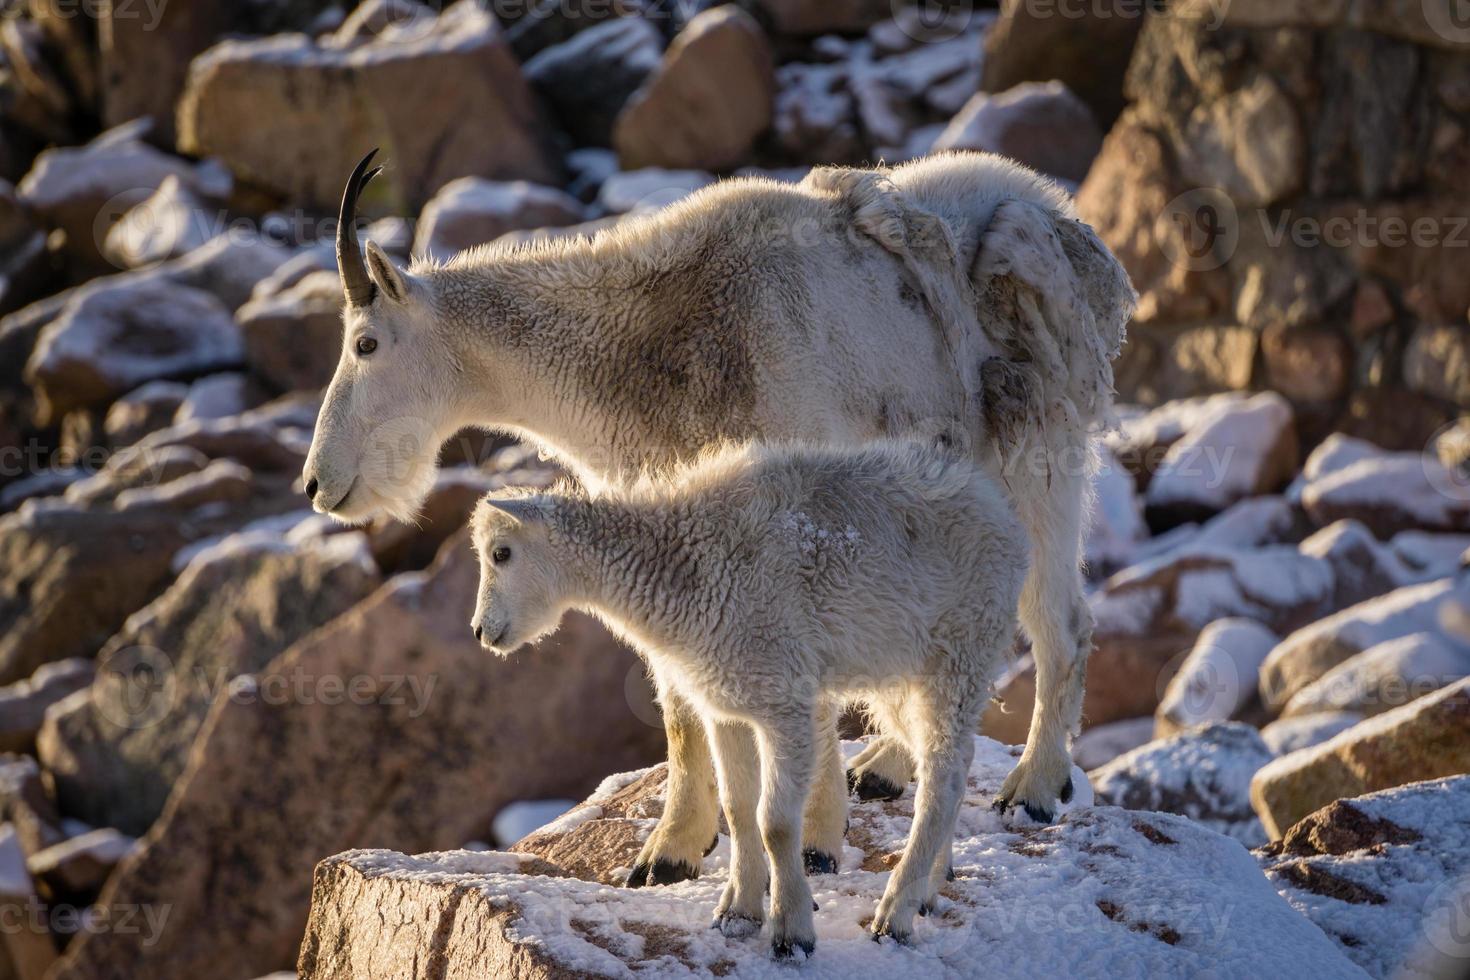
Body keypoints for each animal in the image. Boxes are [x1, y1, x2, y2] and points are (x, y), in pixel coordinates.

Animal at [301, 147, 1134, 887]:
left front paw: (815, 844)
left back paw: (1035, 785)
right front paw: (669, 852)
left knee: (1060, 617)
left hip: (1041, 450)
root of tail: (1069, 224)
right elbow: (677, 698)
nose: (317, 483)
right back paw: (887, 769)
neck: (648, 349)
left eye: (365, 343)